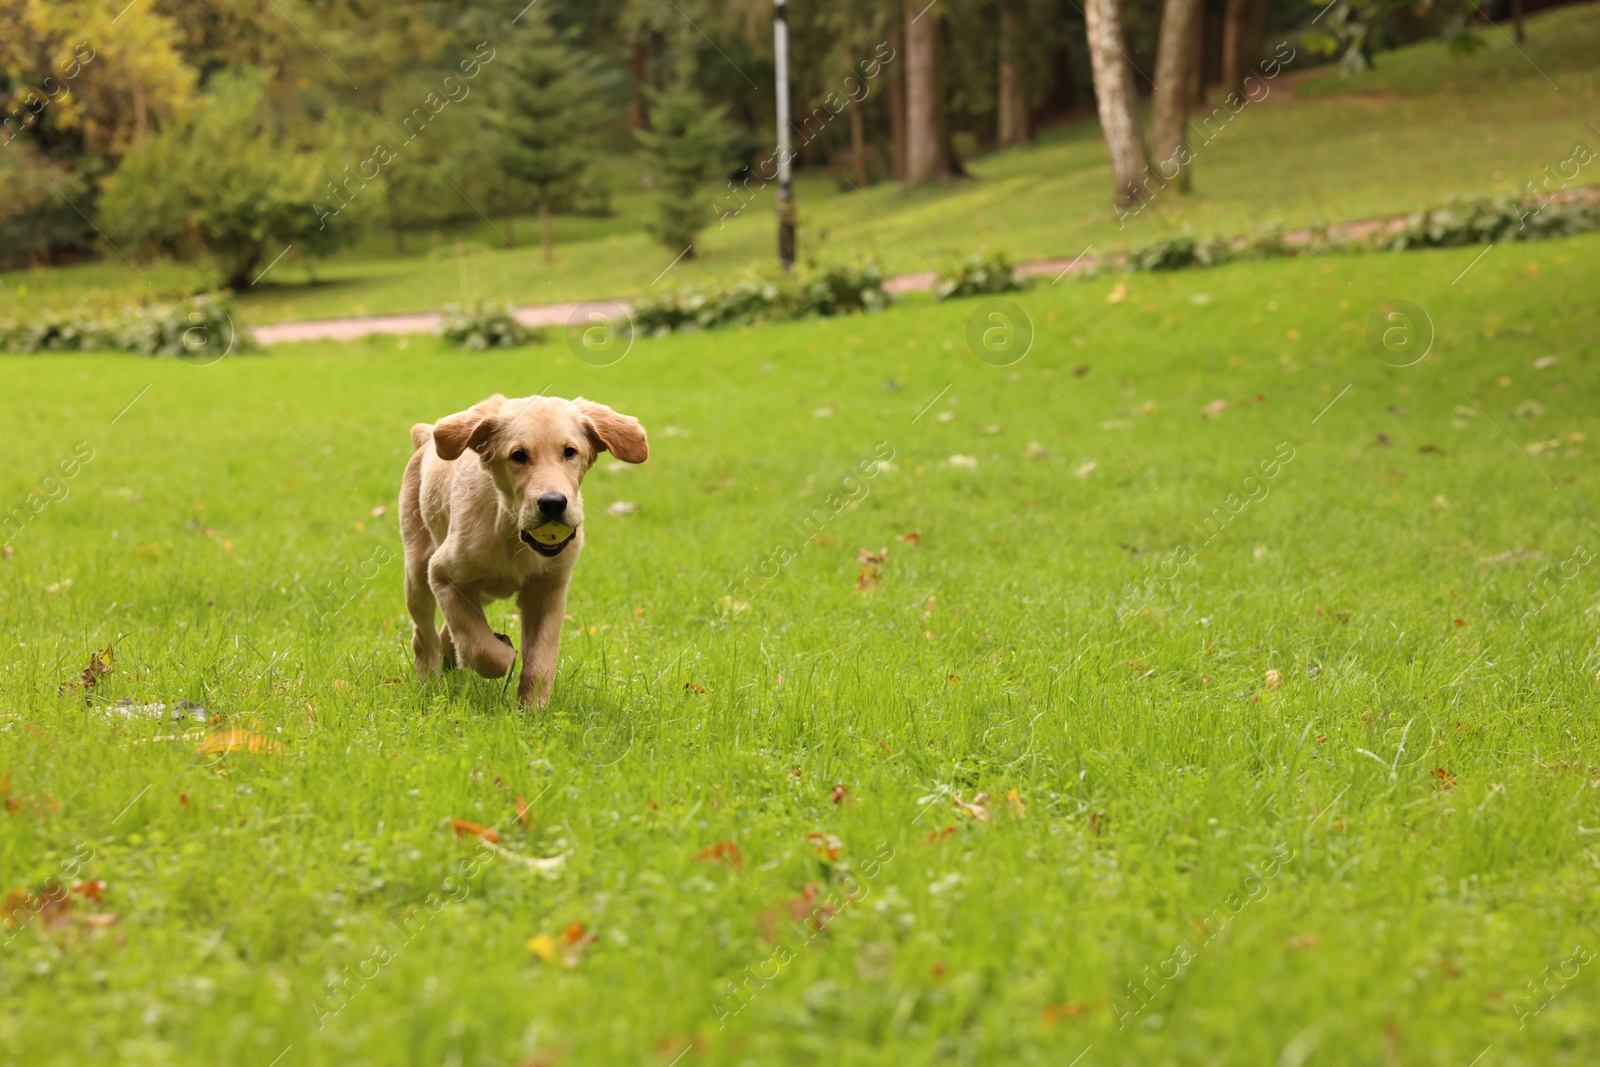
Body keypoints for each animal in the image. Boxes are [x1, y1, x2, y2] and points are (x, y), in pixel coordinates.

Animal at [400, 396, 649, 703]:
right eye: (518, 455)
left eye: (570, 452)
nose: (553, 503)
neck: (513, 531)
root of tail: (427, 439)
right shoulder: (443, 574)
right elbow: (481, 648)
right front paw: (503, 652)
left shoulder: (548, 591)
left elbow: (540, 659)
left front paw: (532, 708)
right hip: (418, 573)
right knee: (424, 635)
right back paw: (428, 682)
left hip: (481, 592)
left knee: (449, 631)